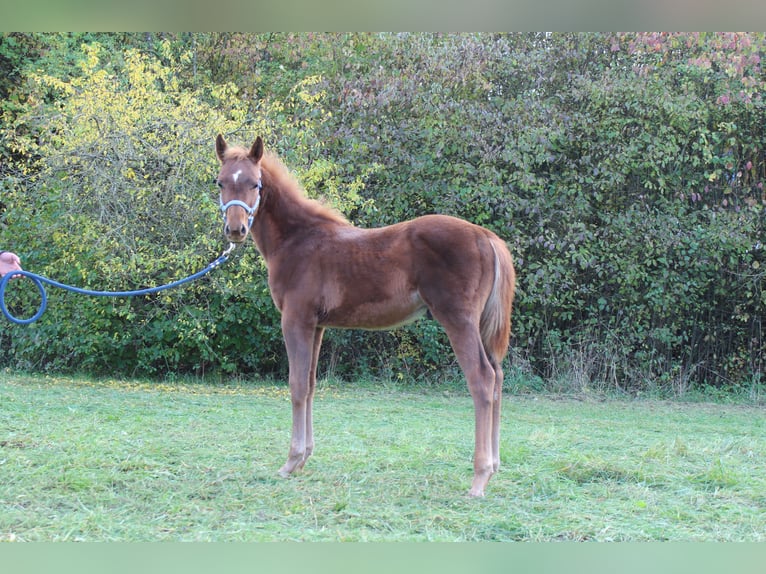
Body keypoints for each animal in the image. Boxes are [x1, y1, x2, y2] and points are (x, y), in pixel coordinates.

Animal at [215, 135, 516, 497]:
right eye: (220, 182)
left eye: (255, 184)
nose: (236, 229)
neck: (297, 240)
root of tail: (487, 237)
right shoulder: (317, 325)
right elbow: (311, 384)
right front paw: (304, 458)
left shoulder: (295, 319)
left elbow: (296, 384)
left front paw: (290, 462)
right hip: (481, 325)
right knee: (497, 377)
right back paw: (495, 467)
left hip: (458, 319)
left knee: (482, 379)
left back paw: (479, 478)